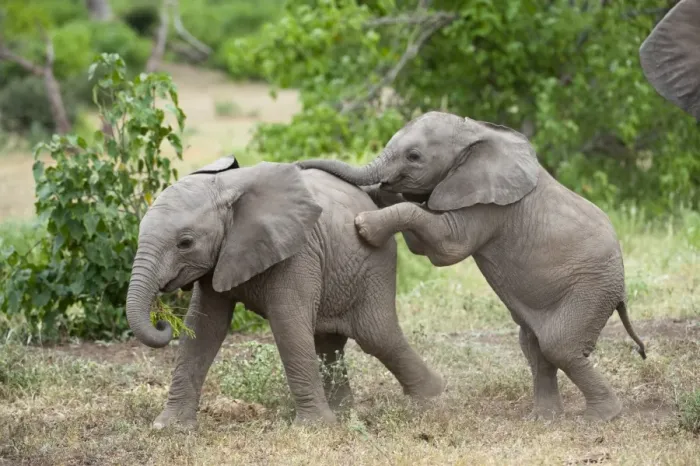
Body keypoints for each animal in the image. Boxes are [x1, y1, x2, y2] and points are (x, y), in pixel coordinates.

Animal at [125, 156, 446, 428]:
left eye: (186, 243)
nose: (161, 321)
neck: (226, 187)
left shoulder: (298, 250)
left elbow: (287, 323)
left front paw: (314, 429)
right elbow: (203, 329)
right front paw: (170, 427)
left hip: (375, 262)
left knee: (377, 335)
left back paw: (433, 397)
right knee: (329, 342)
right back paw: (345, 413)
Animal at [296, 111, 647, 422]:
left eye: (414, 156)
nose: (299, 164)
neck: (475, 133)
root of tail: (621, 292)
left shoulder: (489, 205)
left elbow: (446, 247)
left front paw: (364, 226)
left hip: (591, 290)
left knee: (560, 347)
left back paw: (601, 417)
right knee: (534, 347)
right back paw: (544, 419)